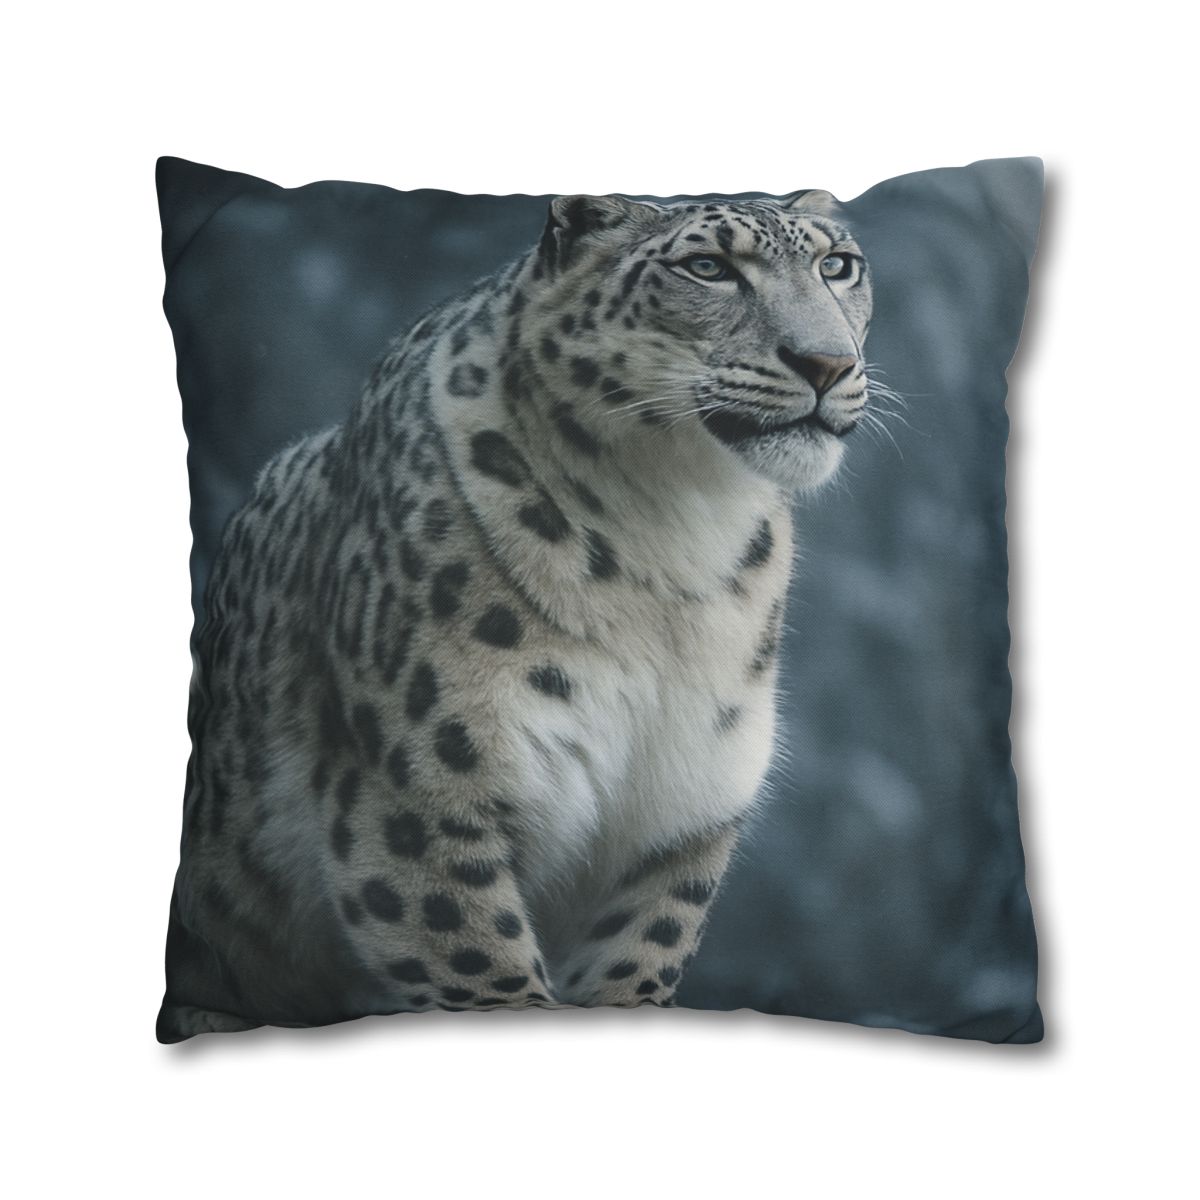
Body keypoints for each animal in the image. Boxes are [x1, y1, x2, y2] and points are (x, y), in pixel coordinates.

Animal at [157, 189, 874, 1041]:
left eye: (838, 265)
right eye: (707, 267)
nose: (828, 363)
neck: (681, 542)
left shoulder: (677, 824)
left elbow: (637, 962)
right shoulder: (418, 800)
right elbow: (479, 963)